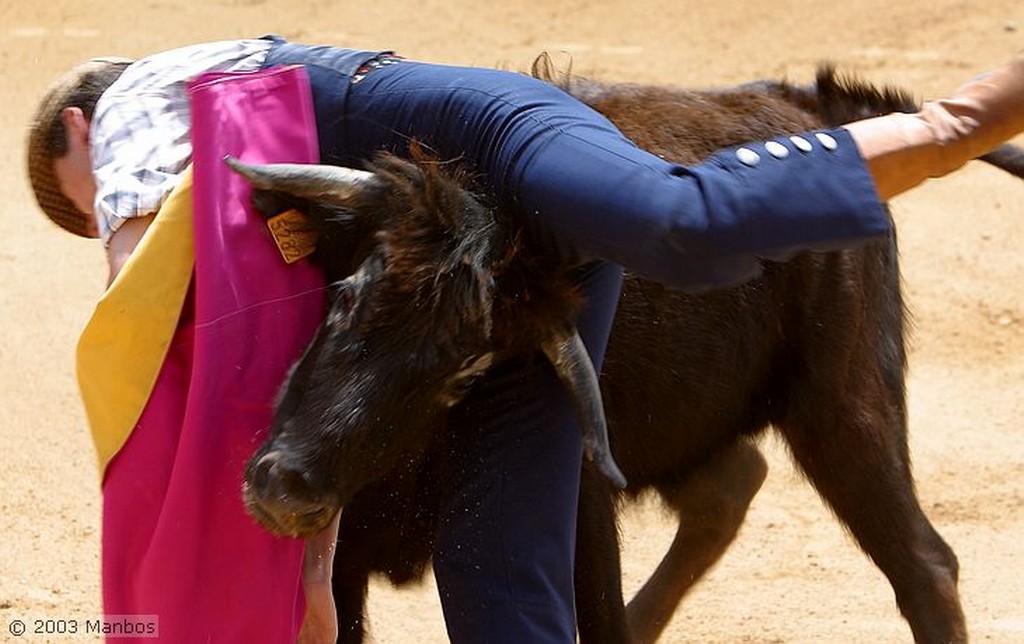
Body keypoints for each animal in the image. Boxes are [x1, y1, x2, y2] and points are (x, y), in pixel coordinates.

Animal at [232, 61, 1024, 642]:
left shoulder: (577, 514)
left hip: (847, 402)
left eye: (465, 375)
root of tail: (804, 106)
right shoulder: (344, 571)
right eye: (344, 294)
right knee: (731, 482)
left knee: (925, 566)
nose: (289, 494)